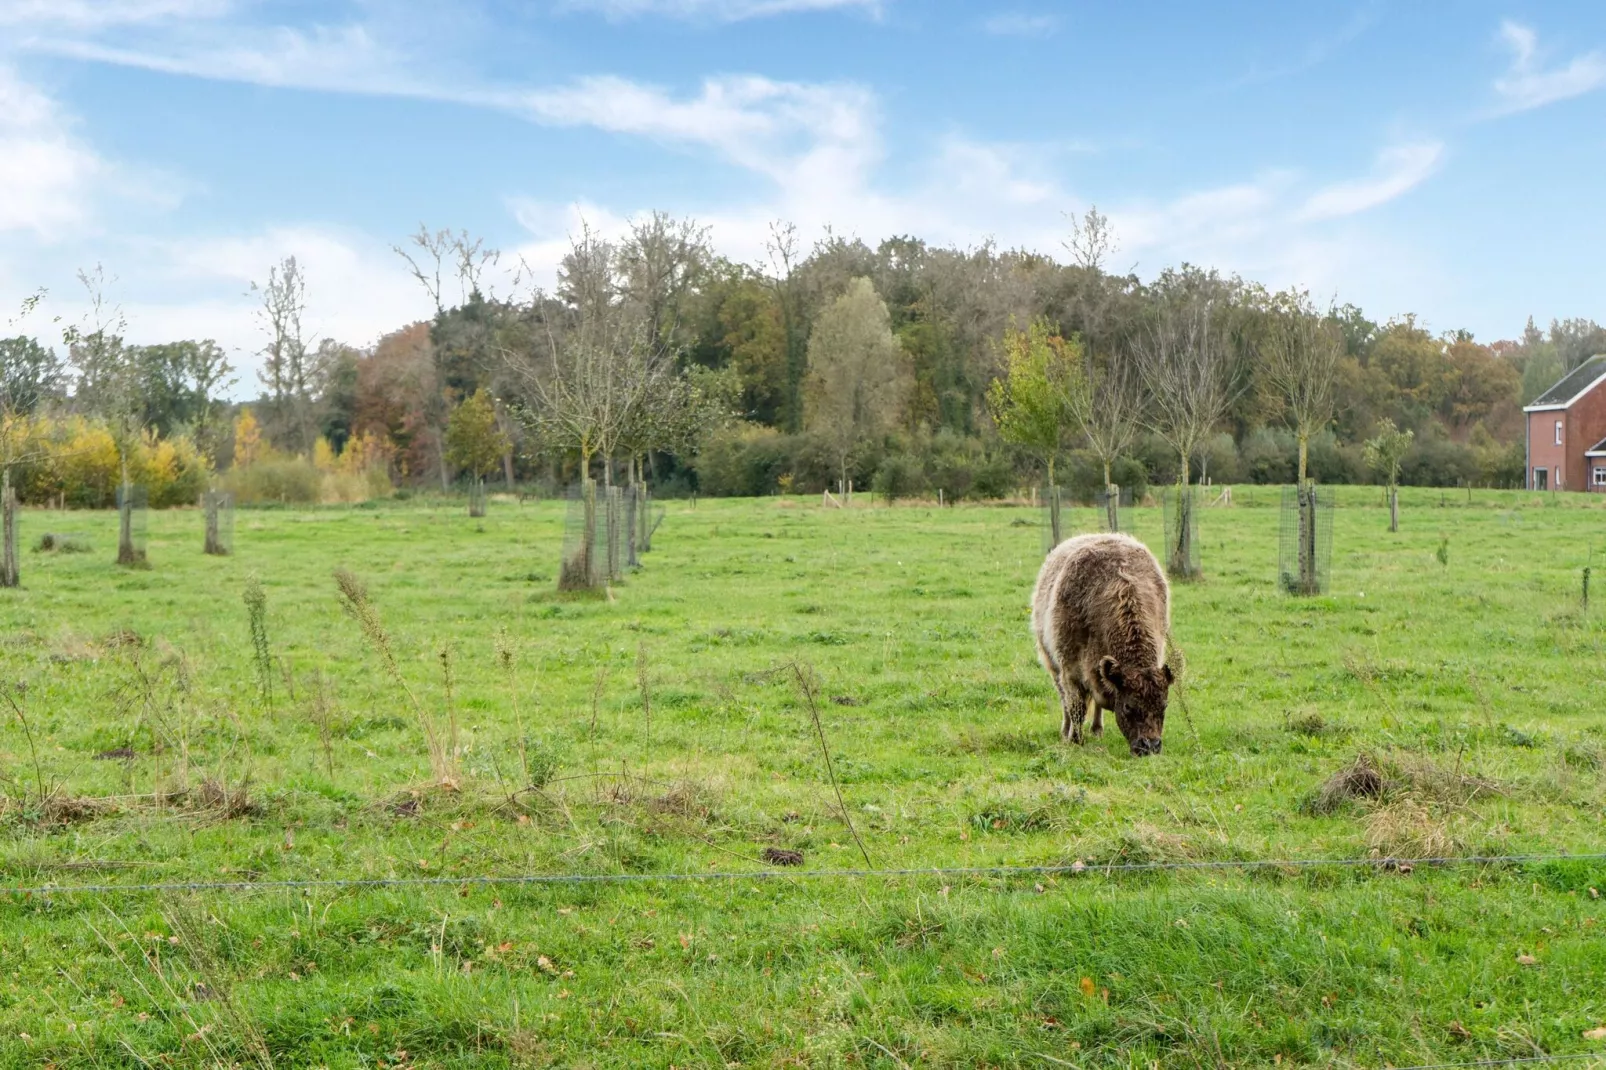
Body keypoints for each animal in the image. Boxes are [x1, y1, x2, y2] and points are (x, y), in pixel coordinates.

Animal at [1034, 530, 1175, 748]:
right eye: (1128, 706)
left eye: (1164, 704)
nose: (1150, 745)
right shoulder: (1069, 671)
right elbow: (1076, 707)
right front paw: (1075, 740)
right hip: (1054, 666)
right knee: (1065, 701)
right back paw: (1066, 731)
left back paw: (1097, 728)